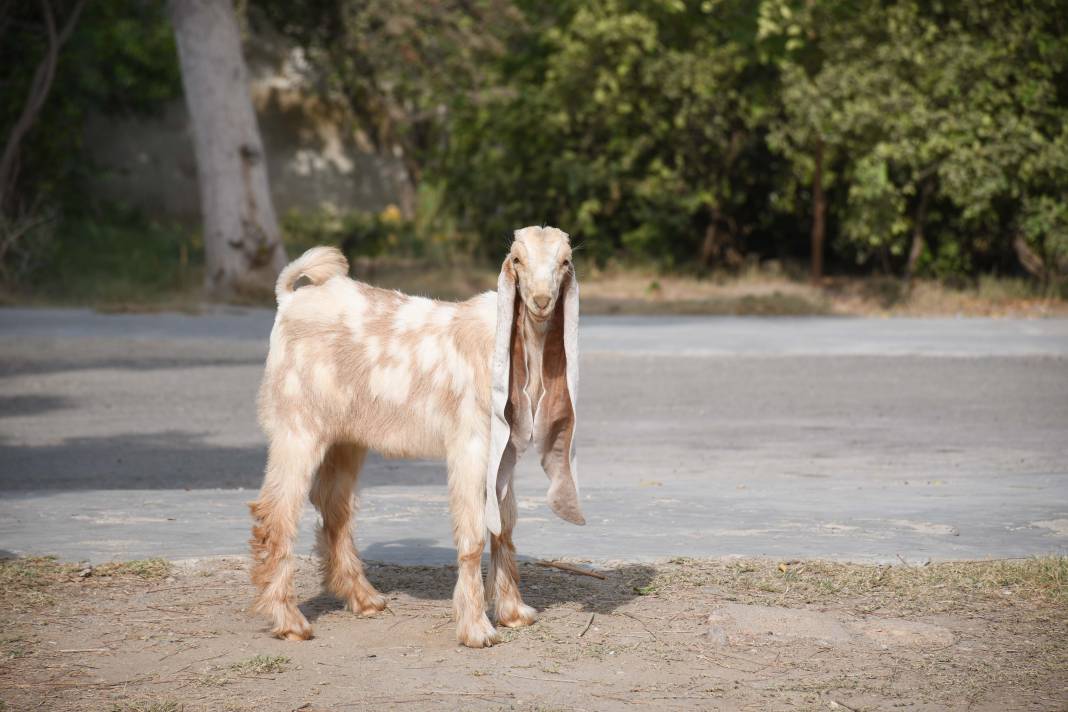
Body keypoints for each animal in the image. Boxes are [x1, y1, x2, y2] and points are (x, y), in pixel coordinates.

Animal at [248, 225, 585, 649]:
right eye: (517, 260)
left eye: (565, 261)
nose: (541, 301)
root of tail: (288, 300)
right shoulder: (470, 444)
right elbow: (473, 533)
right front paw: (476, 628)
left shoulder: (503, 452)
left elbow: (504, 526)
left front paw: (513, 612)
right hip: (297, 426)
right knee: (276, 514)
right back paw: (289, 620)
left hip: (345, 438)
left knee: (334, 506)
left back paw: (364, 598)